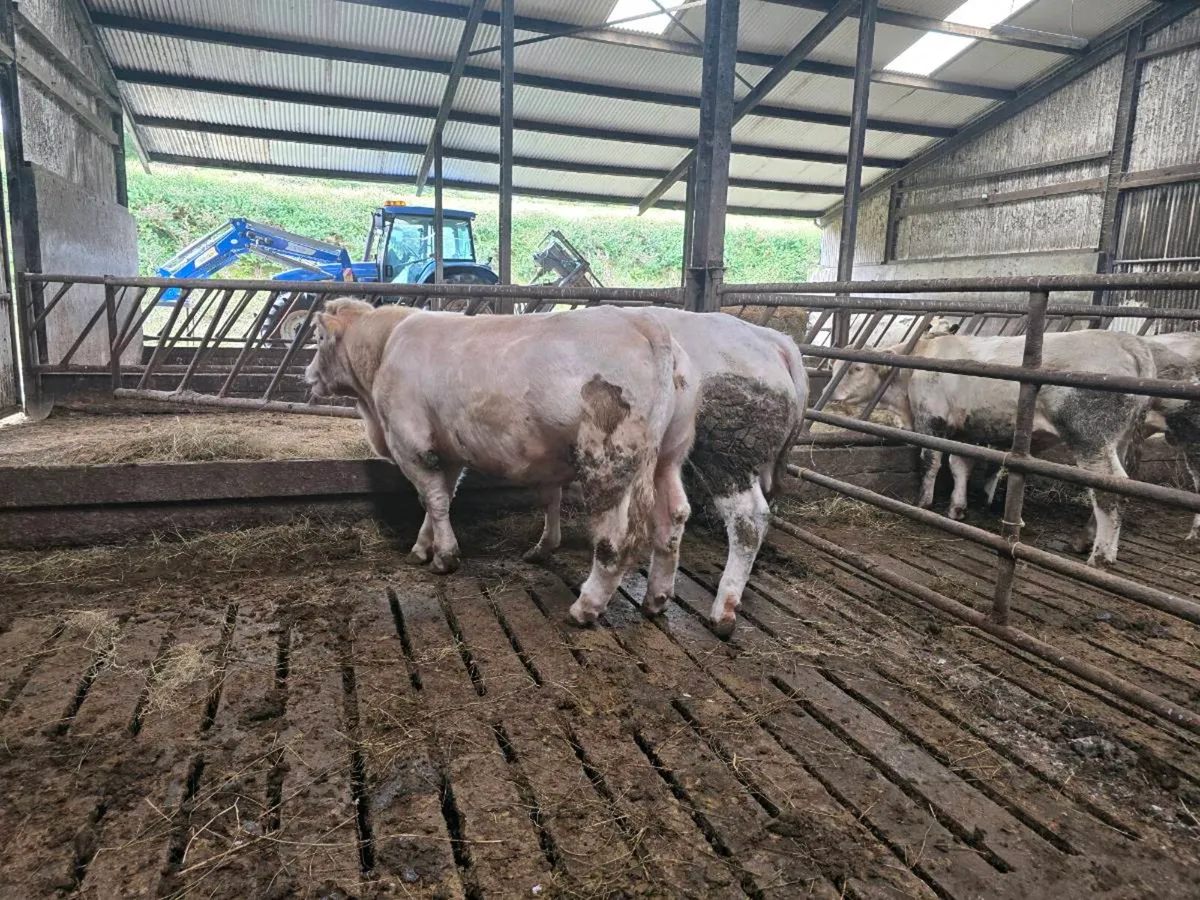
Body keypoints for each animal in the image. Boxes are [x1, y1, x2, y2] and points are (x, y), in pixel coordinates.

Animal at [305, 298, 699, 627]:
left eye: (319, 337)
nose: (307, 375)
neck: (384, 350)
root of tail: (645, 323)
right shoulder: (446, 450)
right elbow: (440, 499)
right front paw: (422, 547)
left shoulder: (411, 443)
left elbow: (432, 499)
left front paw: (443, 556)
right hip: (669, 454)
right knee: (674, 517)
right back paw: (657, 598)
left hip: (608, 460)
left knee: (615, 537)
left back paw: (586, 607)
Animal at [529, 307, 809, 639]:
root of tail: (776, 341)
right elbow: (552, 494)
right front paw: (542, 547)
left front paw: (542, 547)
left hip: (729, 448)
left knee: (749, 517)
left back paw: (723, 614)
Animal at [829, 330, 1155, 567]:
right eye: (833, 367)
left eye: (857, 367)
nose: (831, 395)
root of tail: (1126, 340)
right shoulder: (964, 429)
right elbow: (960, 466)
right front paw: (957, 507)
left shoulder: (931, 420)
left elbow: (931, 461)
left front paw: (923, 502)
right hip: (1118, 439)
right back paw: (1084, 540)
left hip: (1089, 436)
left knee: (1108, 488)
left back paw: (1100, 556)